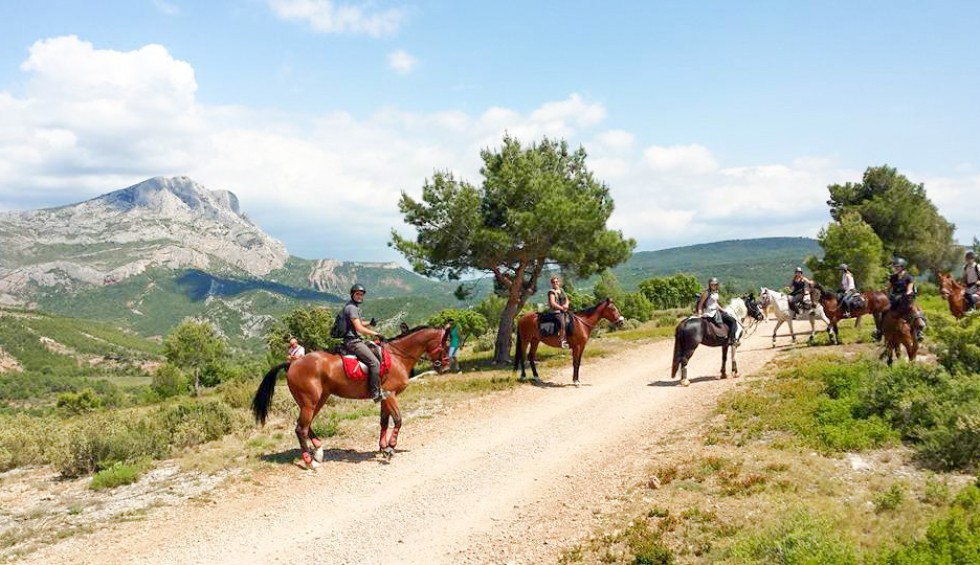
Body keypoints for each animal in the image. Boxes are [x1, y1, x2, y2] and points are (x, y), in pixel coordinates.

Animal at [253, 326, 452, 468]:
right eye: (446, 344)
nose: (446, 366)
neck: (397, 357)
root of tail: (292, 364)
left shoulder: (384, 397)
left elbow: (384, 421)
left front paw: (382, 447)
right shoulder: (390, 395)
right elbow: (398, 420)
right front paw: (390, 448)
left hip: (318, 400)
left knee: (305, 425)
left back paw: (318, 450)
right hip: (309, 402)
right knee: (300, 429)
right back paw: (311, 462)